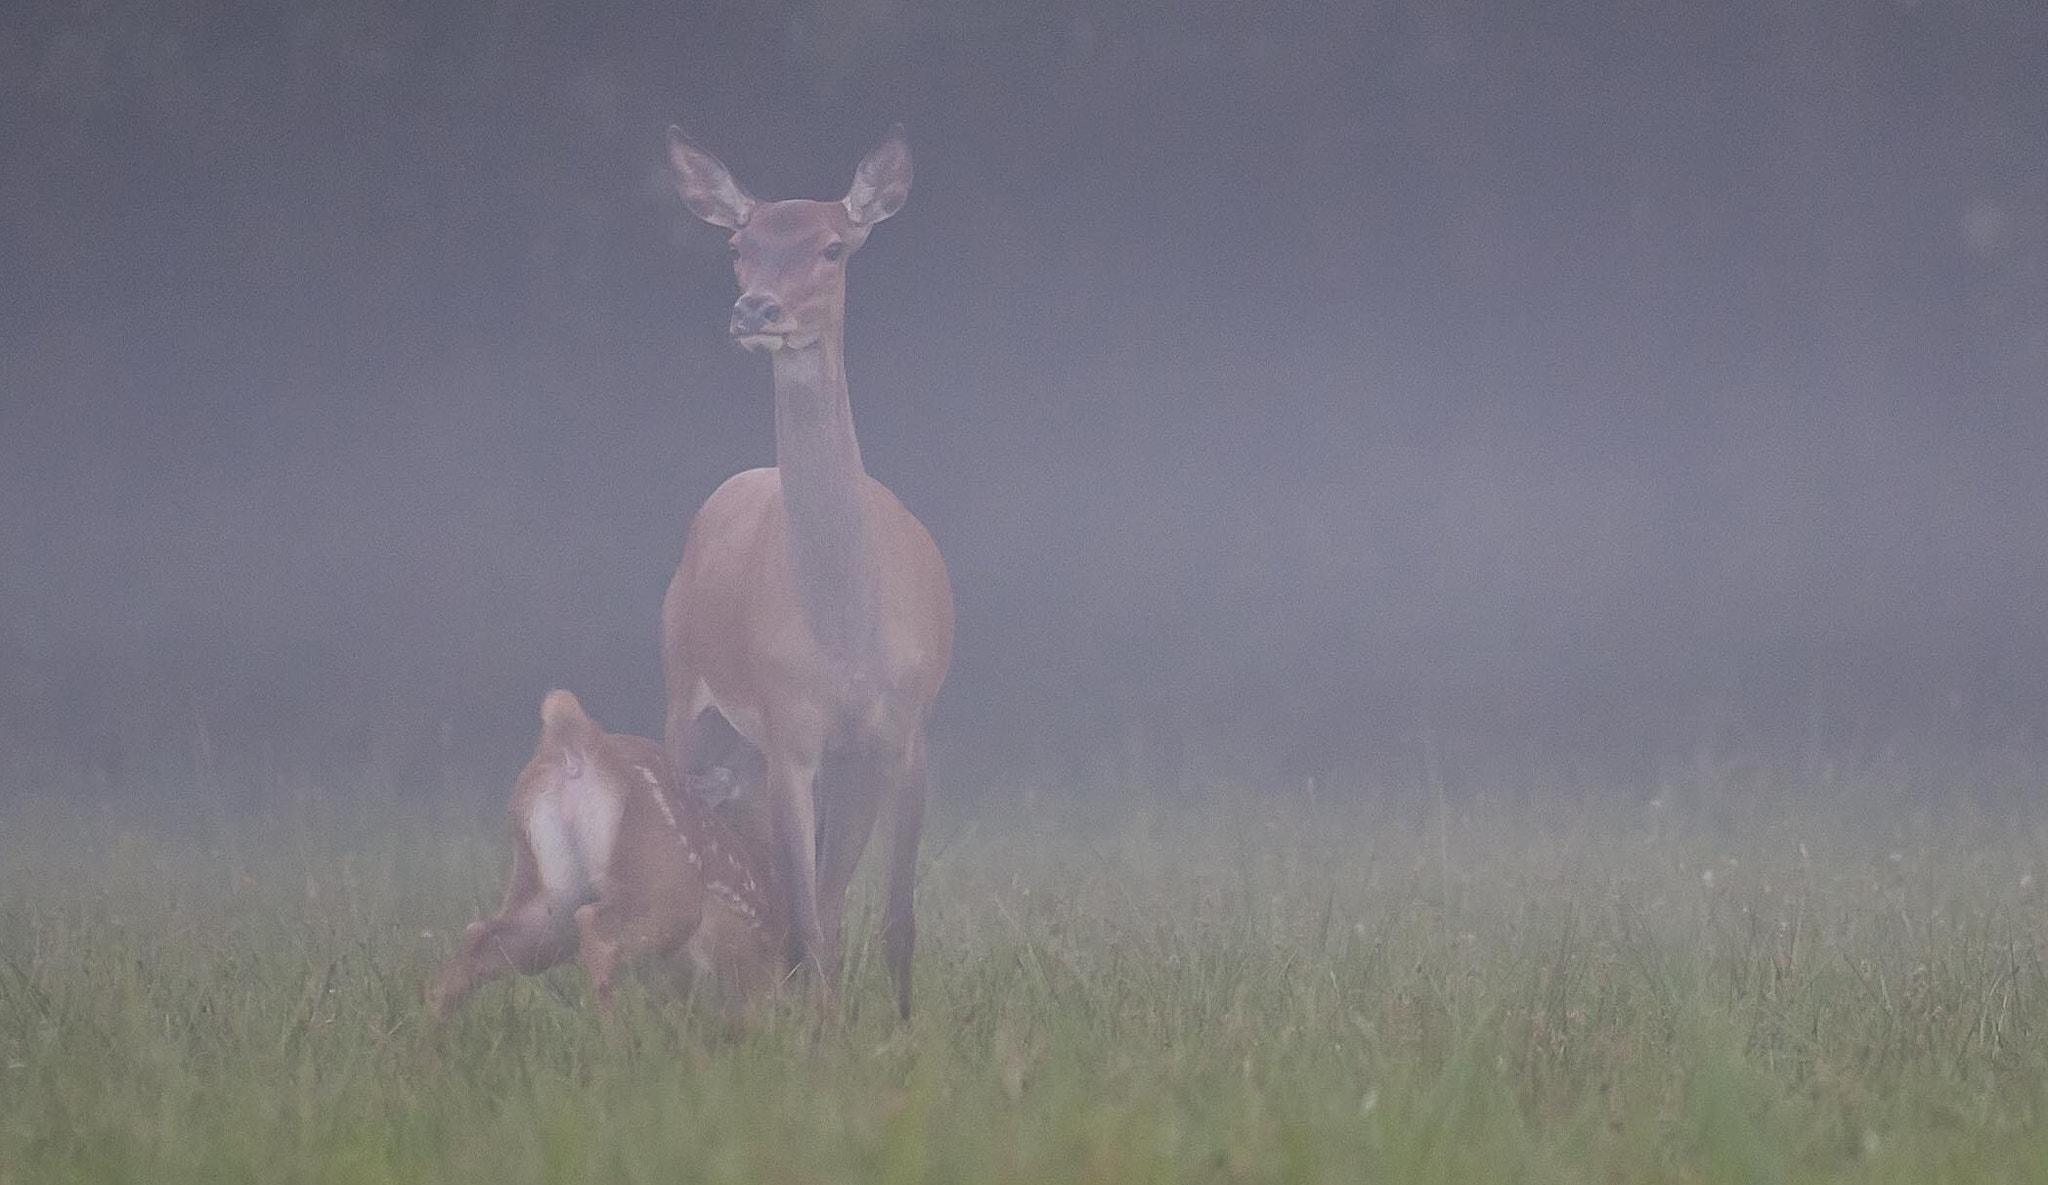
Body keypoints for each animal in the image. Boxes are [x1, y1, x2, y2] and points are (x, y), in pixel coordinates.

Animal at [667, 127, 954, 1019]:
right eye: (738, 245)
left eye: (833, 246)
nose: (755, 309)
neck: (845, 628)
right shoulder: (789, 724)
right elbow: (804, 926)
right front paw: (812, 1038)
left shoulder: (906, 726)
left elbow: (892, 917)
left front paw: (903, 1027)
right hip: (688, 695)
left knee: (824, 895)